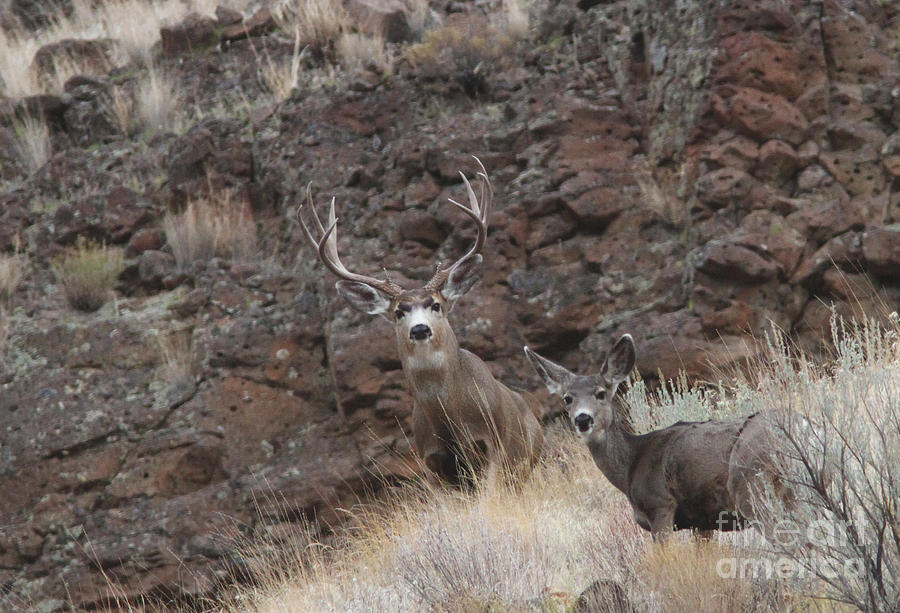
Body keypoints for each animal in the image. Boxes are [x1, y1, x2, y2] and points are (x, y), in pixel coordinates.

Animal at [300, 160, 540, 486]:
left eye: (435, 304)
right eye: (399, 312)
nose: (420, 329)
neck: (450, 418)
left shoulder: (492, 444)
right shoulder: (432, 461)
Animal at [524, 334, 784, 540]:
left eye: (601, 393)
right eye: (567, 398)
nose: (583, 419)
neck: (631, 465)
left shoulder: (660, 504)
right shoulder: (702, 520)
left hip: (753, 490)